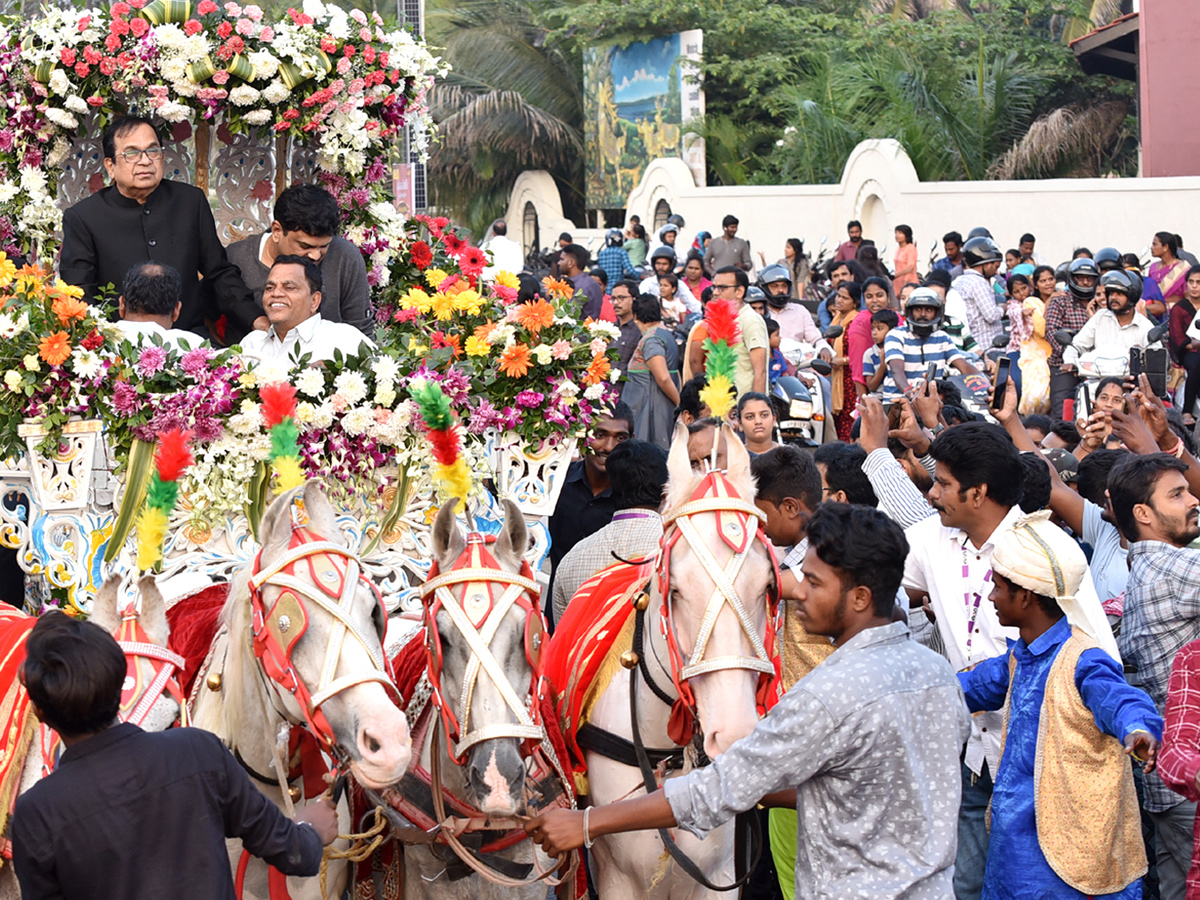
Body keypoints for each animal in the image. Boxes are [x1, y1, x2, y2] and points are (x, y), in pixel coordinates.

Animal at [580, 424, 777, 900]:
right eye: (674, 591)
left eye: (767, 586)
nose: (734, 735)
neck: (671, 762)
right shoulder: (615, 880)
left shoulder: (720, 877)